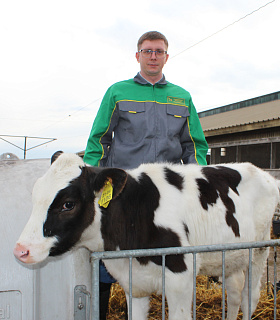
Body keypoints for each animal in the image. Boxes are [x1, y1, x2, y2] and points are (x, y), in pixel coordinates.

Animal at [14, 152, 278, 320]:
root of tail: (263, 173)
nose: (21, 250)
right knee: (233, 293)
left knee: (249, 297)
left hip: (259, 251)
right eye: (35, 194)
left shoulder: (181, 279)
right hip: (232, 256)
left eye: (68, 204)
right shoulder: (134, 284)